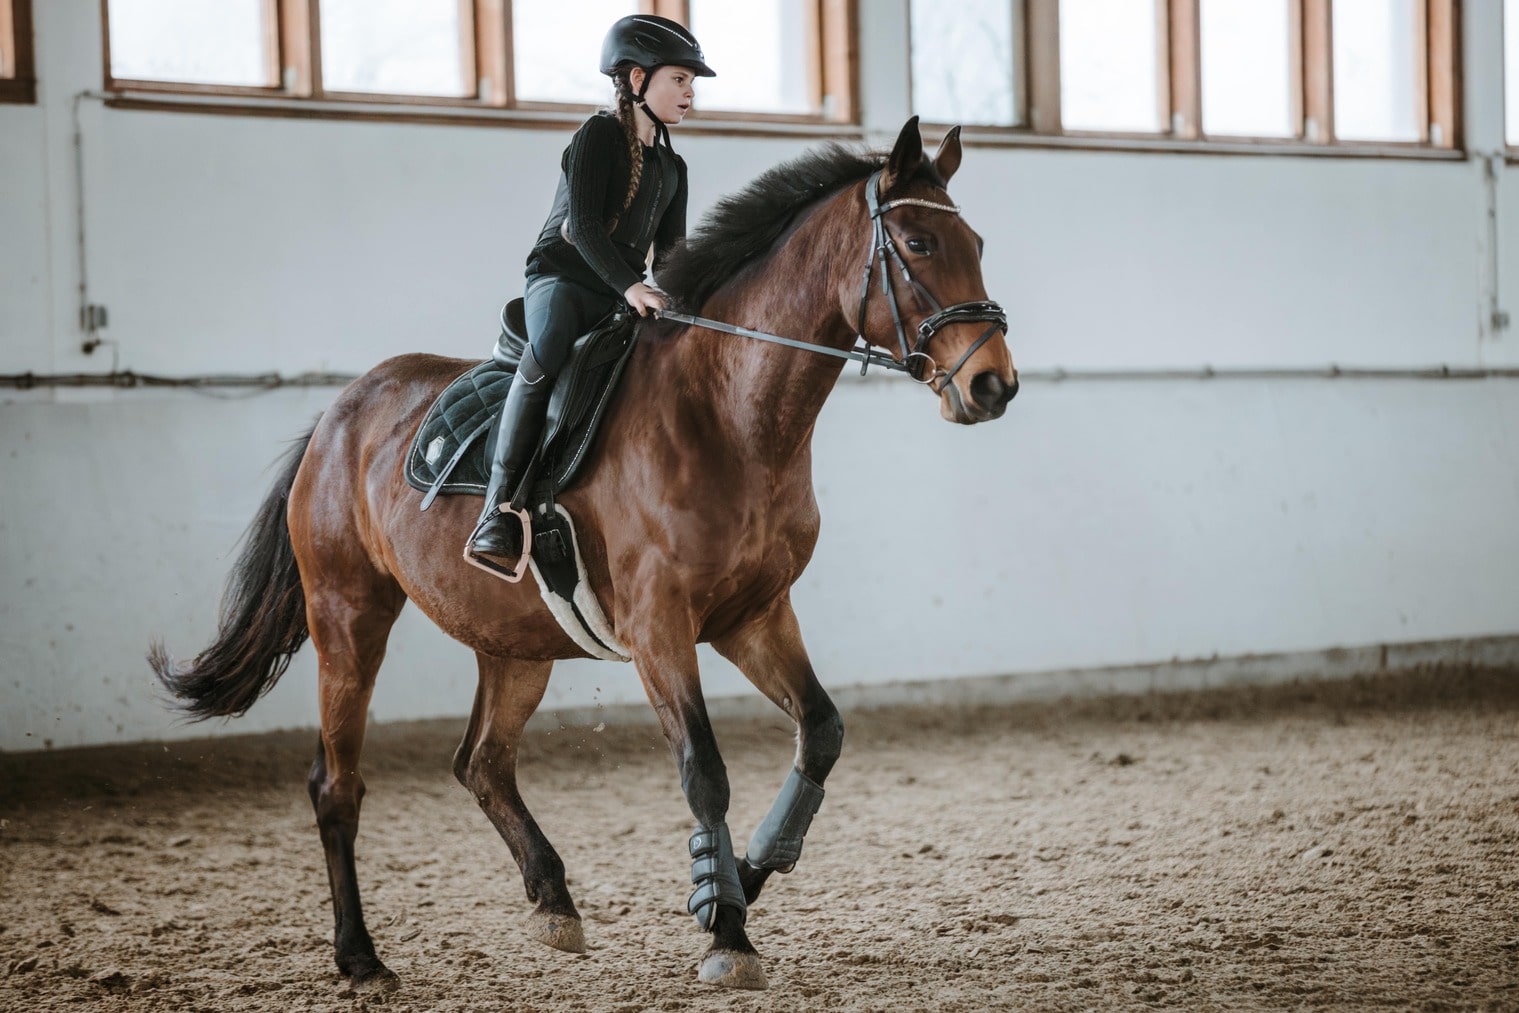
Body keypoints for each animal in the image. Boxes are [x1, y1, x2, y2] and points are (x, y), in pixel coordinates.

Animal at [150, 117, 1018, 993]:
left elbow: (822, 731)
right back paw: (361, 956)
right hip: (349, 618)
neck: (726, 413)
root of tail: (338, 413)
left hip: (514, 643)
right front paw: (727, 929)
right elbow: (703, 767)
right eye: (917, 240)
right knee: (337, 783)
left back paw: (553, 901)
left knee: (482, 762)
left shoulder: (753, 616)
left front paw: (738, 877)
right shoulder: (660, 627)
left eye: (975, 241)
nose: (994, 385)